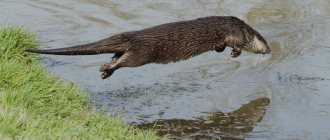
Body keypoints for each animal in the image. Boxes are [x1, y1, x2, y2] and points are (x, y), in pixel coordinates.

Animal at [26, 16, 270, 79]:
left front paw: (221, 49)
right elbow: (235, 42)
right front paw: (235, 52)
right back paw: (107, 69)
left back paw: (105, 70)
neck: (242, 28)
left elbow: (221, 45)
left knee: (117, 55)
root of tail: (132, 35)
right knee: (124, 61)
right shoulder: (234, 31)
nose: (269, 51)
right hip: (142, 53)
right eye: (266, 43)